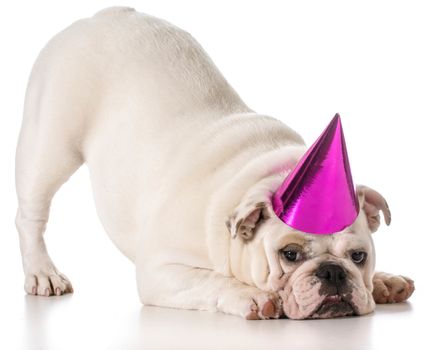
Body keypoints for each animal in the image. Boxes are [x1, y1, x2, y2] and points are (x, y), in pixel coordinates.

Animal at [15, 6, 414, 320]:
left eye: (359, 256)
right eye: (290, 254)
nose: (333, 272)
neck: (267, 174)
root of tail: (103, 16)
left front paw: (384, 281)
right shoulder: (161, 271)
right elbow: (210, 280)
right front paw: (251, 295)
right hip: (50, 146)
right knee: (31, 216)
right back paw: (43, 273)